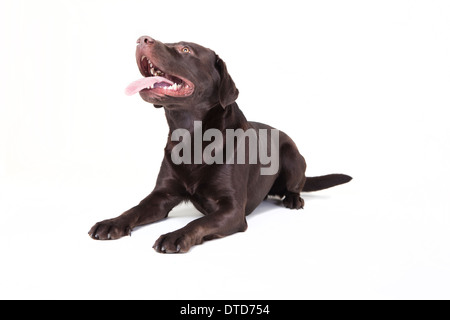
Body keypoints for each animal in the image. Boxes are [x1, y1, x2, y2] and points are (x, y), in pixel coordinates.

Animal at [89, 36, 352, 252]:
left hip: (292, 155)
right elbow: (134, 209)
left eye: (185, 49)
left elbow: (199, 221)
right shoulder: (161, 196)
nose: (142, 39)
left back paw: (293, 198)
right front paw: (111, 223)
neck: (191, 138)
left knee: (297, 184)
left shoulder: (232, 209)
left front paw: (175, 236)